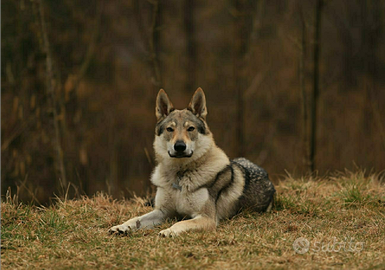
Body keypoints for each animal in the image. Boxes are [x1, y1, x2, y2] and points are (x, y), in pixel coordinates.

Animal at [108, 88, 274, 236]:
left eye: (190, 129)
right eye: (170, 129)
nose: (180, 146)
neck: (180, 176)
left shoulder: (207, 218)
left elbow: (181, 222)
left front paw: (169, 231)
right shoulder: (162, 211)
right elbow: (136, 219)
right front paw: (121, 227)